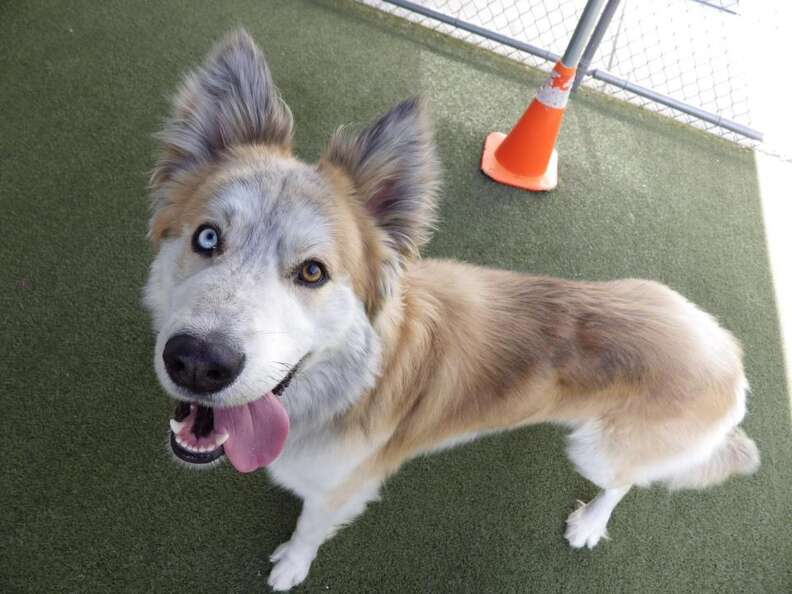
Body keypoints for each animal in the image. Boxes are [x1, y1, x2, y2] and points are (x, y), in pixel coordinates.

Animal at [147, 31, 760, 588]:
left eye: (313, 272)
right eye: (207, 238)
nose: (198, 362)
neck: (348, 386)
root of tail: (728, 353)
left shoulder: (342, 490)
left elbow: (309, 531)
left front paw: (291, 568)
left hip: (600, 451)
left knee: (623, 481)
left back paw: (589, 522)